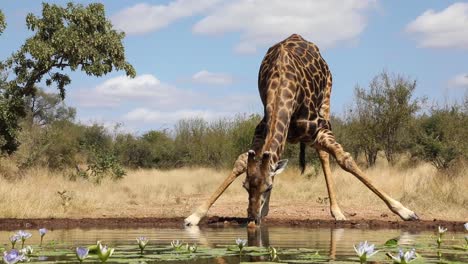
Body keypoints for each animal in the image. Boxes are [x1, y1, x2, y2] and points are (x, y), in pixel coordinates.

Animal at [185, 34, 418, 226]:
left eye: (268, 187)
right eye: (245, 186)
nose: (252, 219)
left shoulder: (319, 129)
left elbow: (345, 160)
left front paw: (406, 211)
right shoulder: (260, 130)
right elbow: (242, 161)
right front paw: (195, 216)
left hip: (326, 101)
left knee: (325, 155)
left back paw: (337, 212)